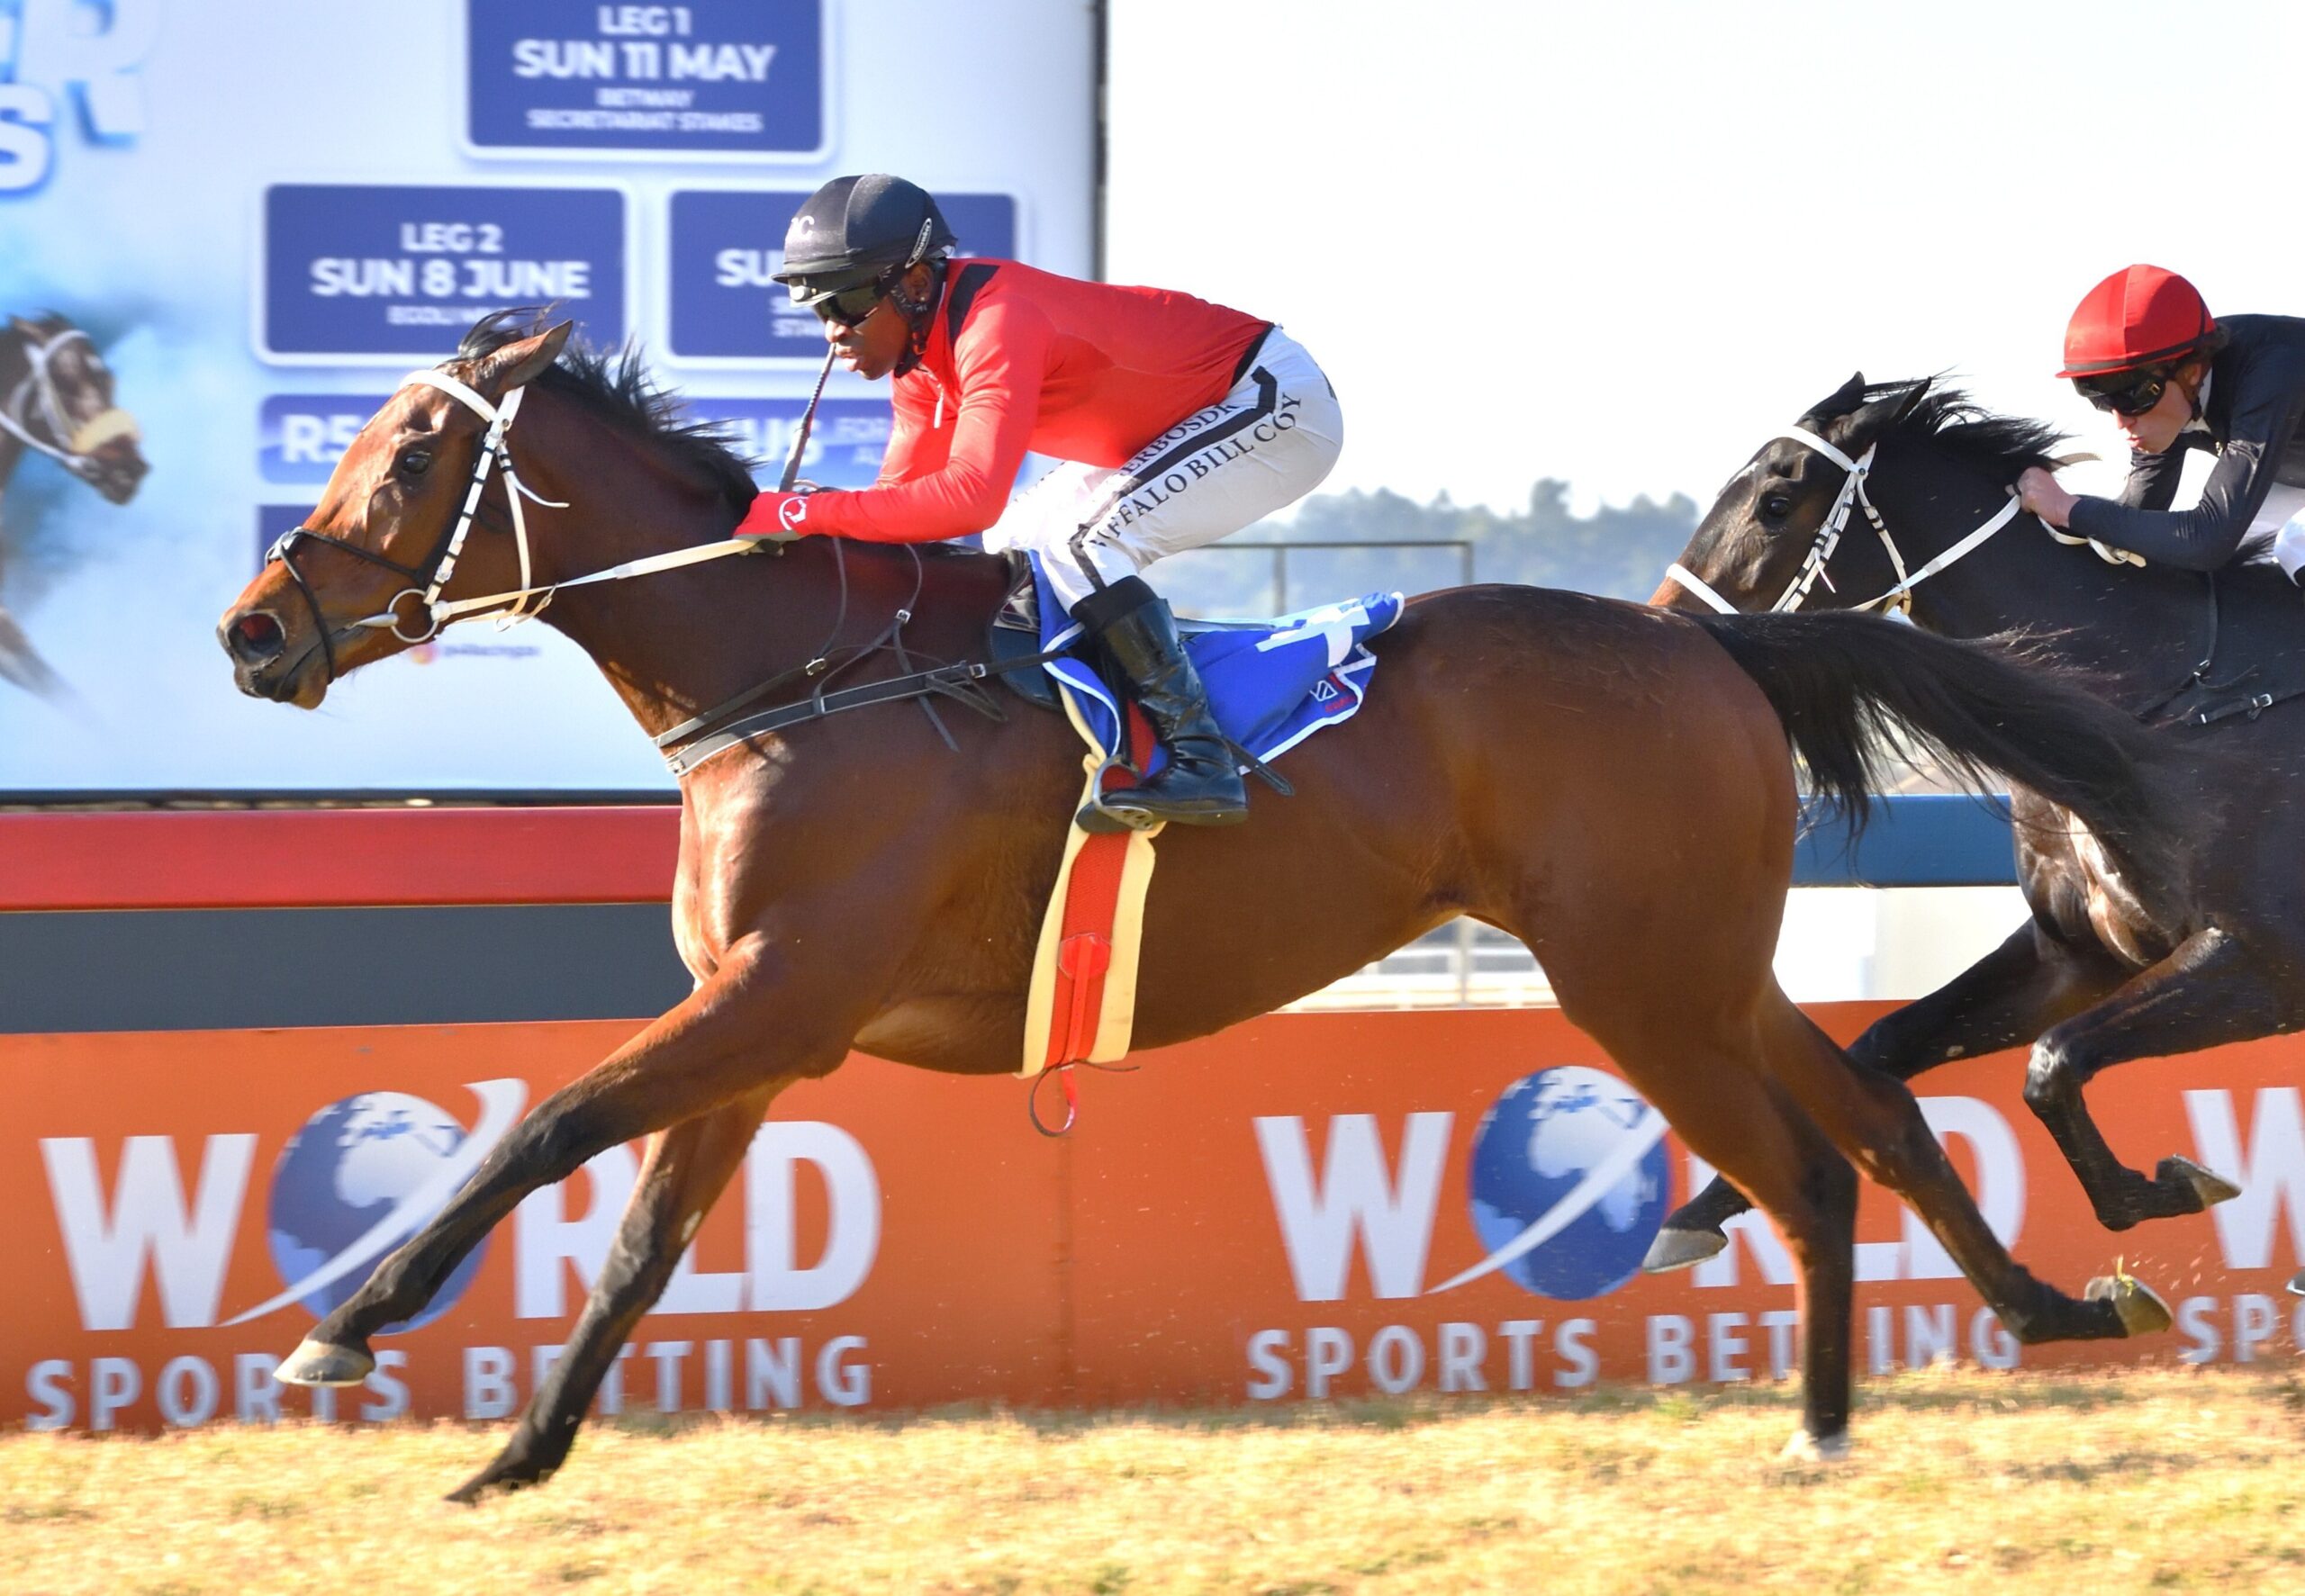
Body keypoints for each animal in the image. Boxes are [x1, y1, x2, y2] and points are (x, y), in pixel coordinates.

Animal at [216, 316, 2180, 1500]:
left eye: (409, 460)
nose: (251, 629)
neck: (798, 680)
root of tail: (1714, 645)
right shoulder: (760, 1033)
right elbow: (633, 1237)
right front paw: (516, 1456)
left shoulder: (783, 995)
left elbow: (544, 1120)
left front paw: (348, 1317)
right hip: (1695, 964)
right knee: (1868, 1111)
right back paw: (2056, 1309)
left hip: (1638, 980)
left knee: (1804, 1164)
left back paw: (1833, 1421)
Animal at [1647, 372, 2295, 1276]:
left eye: (1776, 501)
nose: (1664, 621)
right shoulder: (2076, 953)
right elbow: (1888, 1043)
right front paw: (1701, 1211)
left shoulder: (2263, 964)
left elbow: (2053, 1062)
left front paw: (2168, 1188)